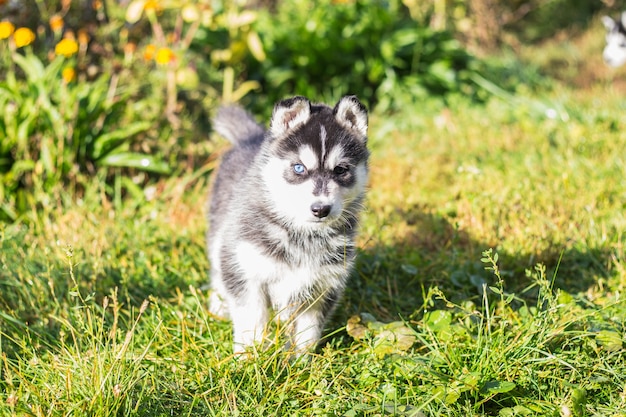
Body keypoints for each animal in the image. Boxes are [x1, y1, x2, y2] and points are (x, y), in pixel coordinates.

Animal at [207, 95, 368, 354]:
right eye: (299, 167)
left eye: (341, 169)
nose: (320, 209)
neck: (303, 234)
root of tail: (250, 139)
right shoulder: (245, 269)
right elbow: (251, 321)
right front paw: (249, 357)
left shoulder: (324, 285)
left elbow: (308, 332)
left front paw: (300, 360)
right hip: (221, 239)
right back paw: (218, 308)